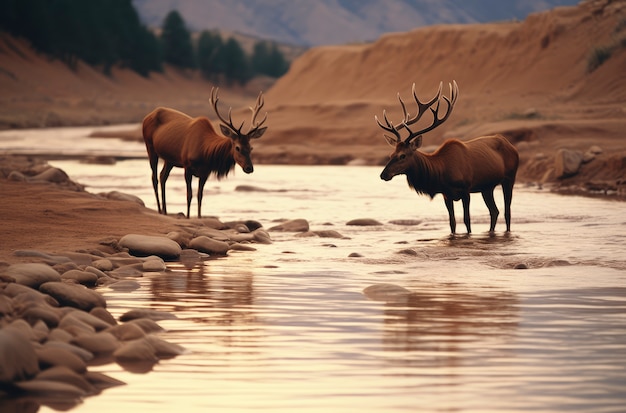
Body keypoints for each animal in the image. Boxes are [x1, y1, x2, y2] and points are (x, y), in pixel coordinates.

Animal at [141, 88, 266, 217]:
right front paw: (188, 217)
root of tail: (146, 117)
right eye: (237, 147)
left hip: (169, 160)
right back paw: (159, 210)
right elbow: (189, 195)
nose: (249, 168)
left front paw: (200, 217)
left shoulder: (205, 172)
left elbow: (200, 196)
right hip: (150, 147)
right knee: (154, 178)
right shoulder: (187, 166)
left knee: (162, 176)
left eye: (251, 147)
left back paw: (165, 211)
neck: (205, 153)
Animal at [376, 81, 516, 235]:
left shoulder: (466, 190)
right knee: (494, 211)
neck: (441, 172)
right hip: (487, 187)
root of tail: (510, 145)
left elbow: (467, 221)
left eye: (403, 155)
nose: (383, 174)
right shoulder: (446, 195)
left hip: (510, 178)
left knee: (507, 212)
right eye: (391, 154)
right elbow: (452, 222)